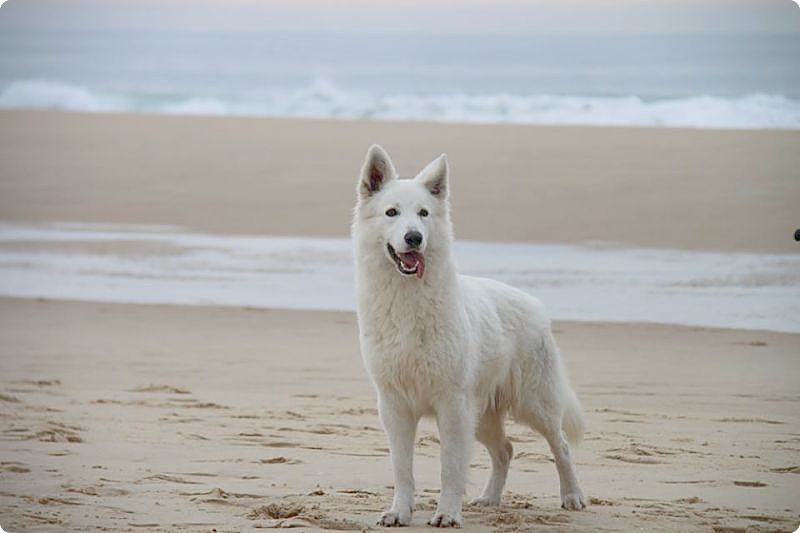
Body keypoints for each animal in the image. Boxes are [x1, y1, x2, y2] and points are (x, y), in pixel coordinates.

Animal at [354, 143, 584, 524]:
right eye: (391, 212)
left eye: (423, 213)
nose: (414, 238)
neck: (407, 301)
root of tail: (534, 303)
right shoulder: (395, 407)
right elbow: (402, 469)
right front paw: (400, 512)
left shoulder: (452, 406)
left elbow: (450, 468)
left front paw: (447, 514)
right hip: (481, 416)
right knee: (505, 450)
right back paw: (490, 498)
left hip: (533, 405)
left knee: (561, 445)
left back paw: (573, 496)